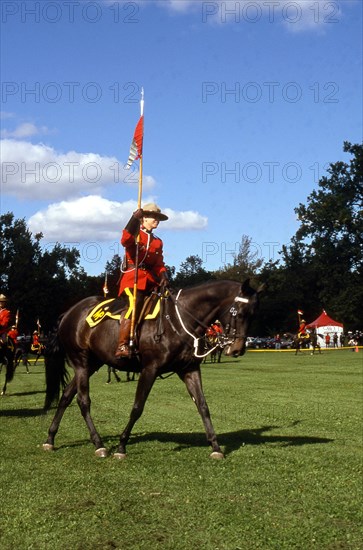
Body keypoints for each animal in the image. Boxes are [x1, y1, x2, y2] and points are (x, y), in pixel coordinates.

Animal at [44, 280, 264, 462]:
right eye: (240, 313)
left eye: (254, 314)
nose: (237, 349)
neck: (179, 319)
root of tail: (70, 312)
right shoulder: (150, 369)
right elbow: (137, 407)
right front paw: (121, 446)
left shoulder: (190, 370)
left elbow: (203, 406)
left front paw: (215, 446)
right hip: (81, 362)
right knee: (83, 401)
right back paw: (98, 444)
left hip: (92, 364)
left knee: (66, 396)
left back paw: (50, 438)